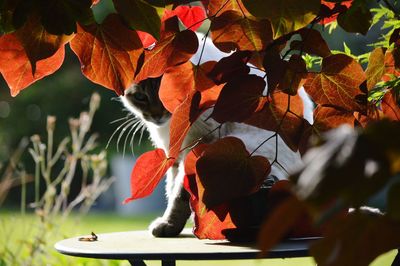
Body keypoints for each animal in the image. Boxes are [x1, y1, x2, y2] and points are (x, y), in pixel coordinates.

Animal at [120, 33, 314, 237]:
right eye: (140, 97)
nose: (156, 115)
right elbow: (172, 189)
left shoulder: (197, 146)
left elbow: (179, 195)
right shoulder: (174, 155)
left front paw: (168, 225)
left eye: (166, 94)